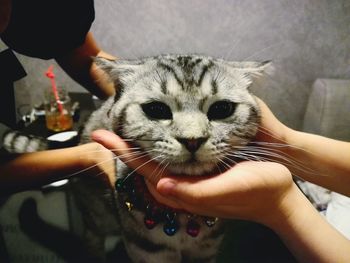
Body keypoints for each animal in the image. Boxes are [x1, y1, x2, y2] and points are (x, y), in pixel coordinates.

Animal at [2, 54, 270, 262]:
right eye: (157, 109)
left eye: (222, 109)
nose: (192, 140)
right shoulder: (147, 252)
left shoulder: (206, 251)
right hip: (99, 216)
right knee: (91, 238)